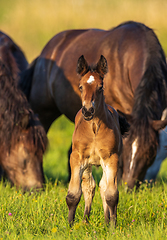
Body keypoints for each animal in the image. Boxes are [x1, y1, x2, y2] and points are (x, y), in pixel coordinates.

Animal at [66, 55, 126, 227]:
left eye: (101, 87)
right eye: (80, 86)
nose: (88, 111)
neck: (93, 128)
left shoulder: (111, 158)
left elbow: (111, 194)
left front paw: (112, 227)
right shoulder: (77, 158)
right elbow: (73, 194)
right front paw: (69, 226)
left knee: (103, 186)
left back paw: (106, 221)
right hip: (87, 164)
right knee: (89, 186)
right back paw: (85, 221)